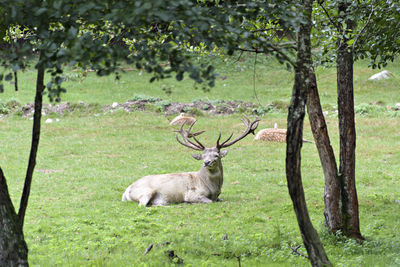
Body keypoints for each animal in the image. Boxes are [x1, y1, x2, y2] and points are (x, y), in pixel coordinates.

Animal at [122, 115, 260, 207]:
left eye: (216, 155)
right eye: (203, 156)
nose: (207, 162)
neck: (213, 189)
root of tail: (126, 192)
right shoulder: (193, 194)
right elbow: (209, 201)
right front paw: (188, 202)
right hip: (145, 192)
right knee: (142, 205)